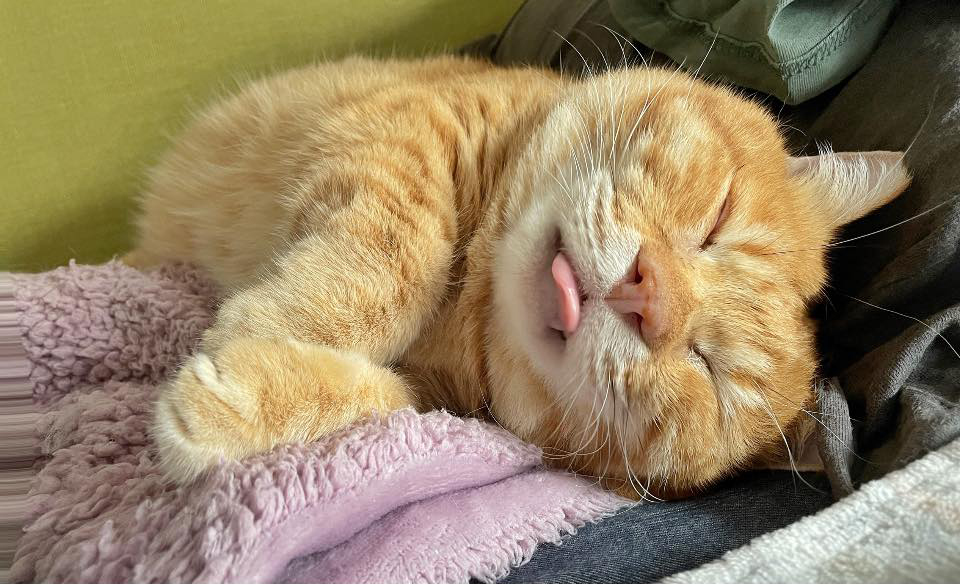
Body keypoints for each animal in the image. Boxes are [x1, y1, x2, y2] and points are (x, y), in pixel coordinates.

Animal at [126, 55, 910, 499]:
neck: (475, 301)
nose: (647, 294)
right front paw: (260, 326)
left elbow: (381, 404)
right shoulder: (412, 134)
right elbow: (396, 263)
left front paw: (245, 387)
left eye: (709, 370)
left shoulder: (446, 409)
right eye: (716, 221)